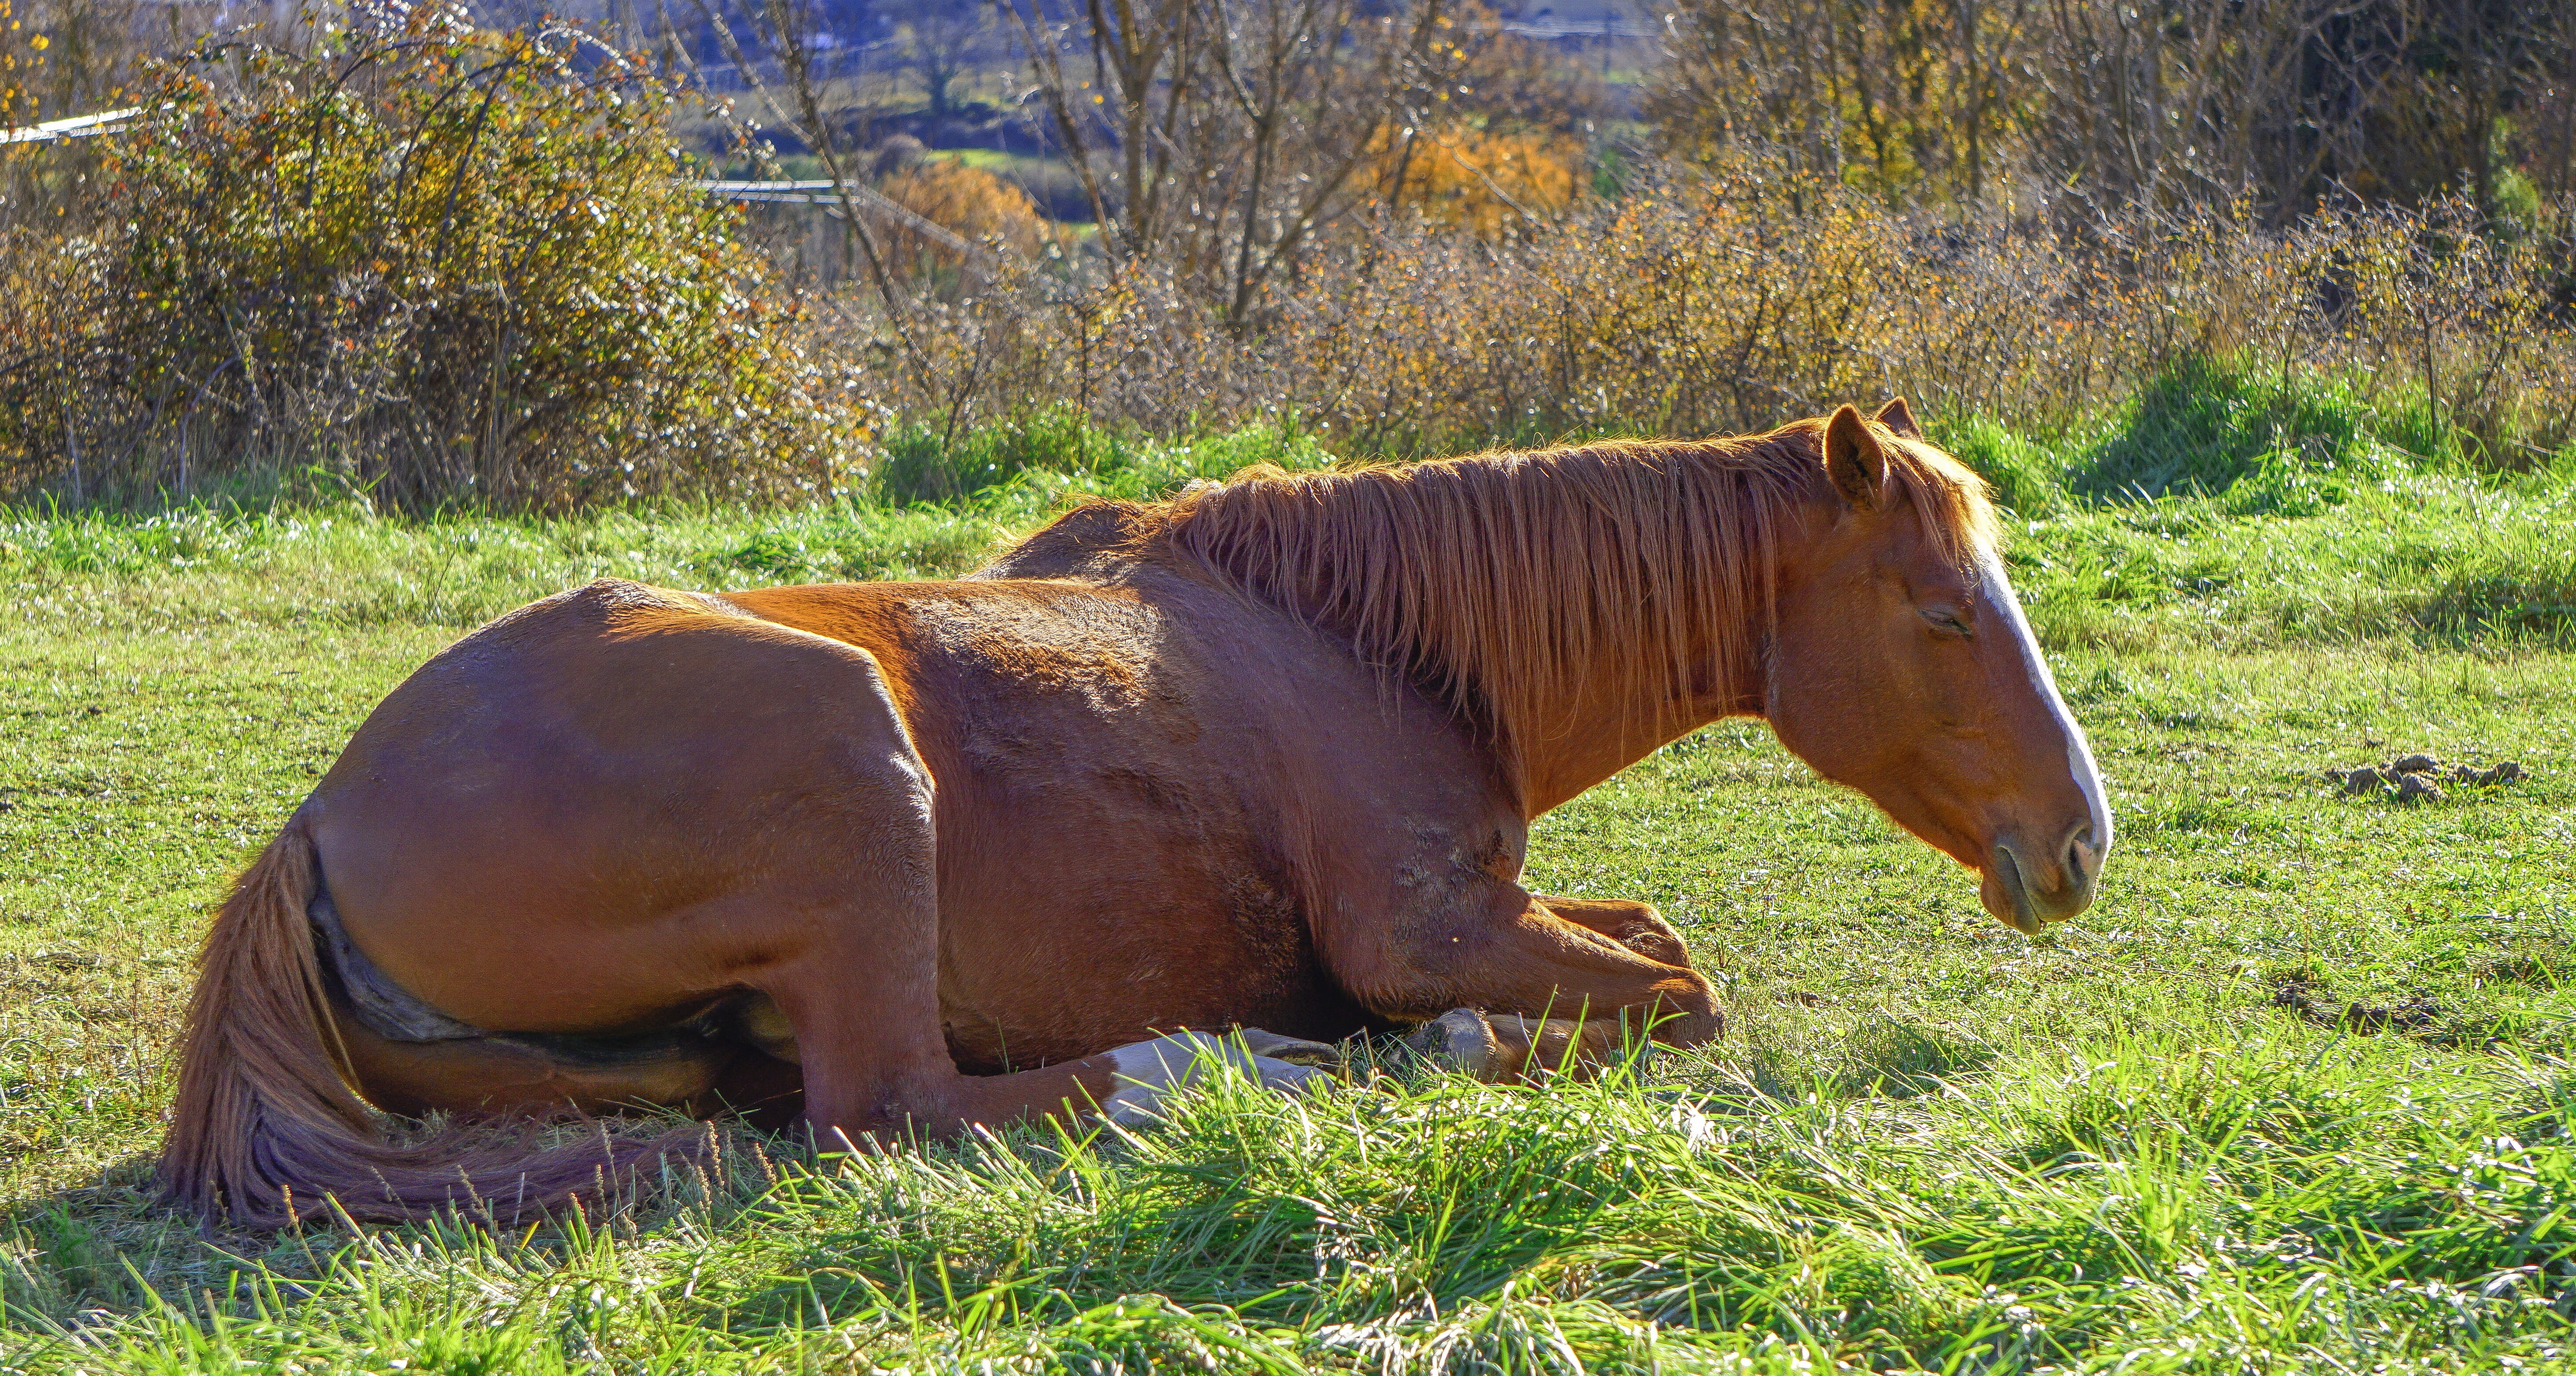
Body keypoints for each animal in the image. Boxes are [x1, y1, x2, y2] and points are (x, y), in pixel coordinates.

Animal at [158, 401, 2112, 1225]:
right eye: (1945, 613)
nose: (2077, 840)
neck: (1365, 641)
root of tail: (319, 820)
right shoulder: (1428, 931)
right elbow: (1678, 989)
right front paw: (1435, 1051)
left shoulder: (1506, 901)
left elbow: (1653, 940)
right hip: (851, 768)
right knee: (894, 1108)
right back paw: (1234, 1068)